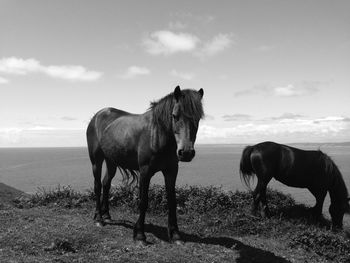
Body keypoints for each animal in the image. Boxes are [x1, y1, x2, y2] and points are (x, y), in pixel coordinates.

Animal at [86, 86, 204, 245]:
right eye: (175, 116)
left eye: (198, 118)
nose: (186, 152)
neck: (157, 135)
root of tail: (97, 116)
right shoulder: (145, 172)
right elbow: (143, 201)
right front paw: (140, 235)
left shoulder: (171, 171)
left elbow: (172, 201)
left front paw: (175, 235)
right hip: (96, 160)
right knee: (98, 185)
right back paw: (98, 218)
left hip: (111, 161)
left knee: (106, 183)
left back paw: (106, 215)